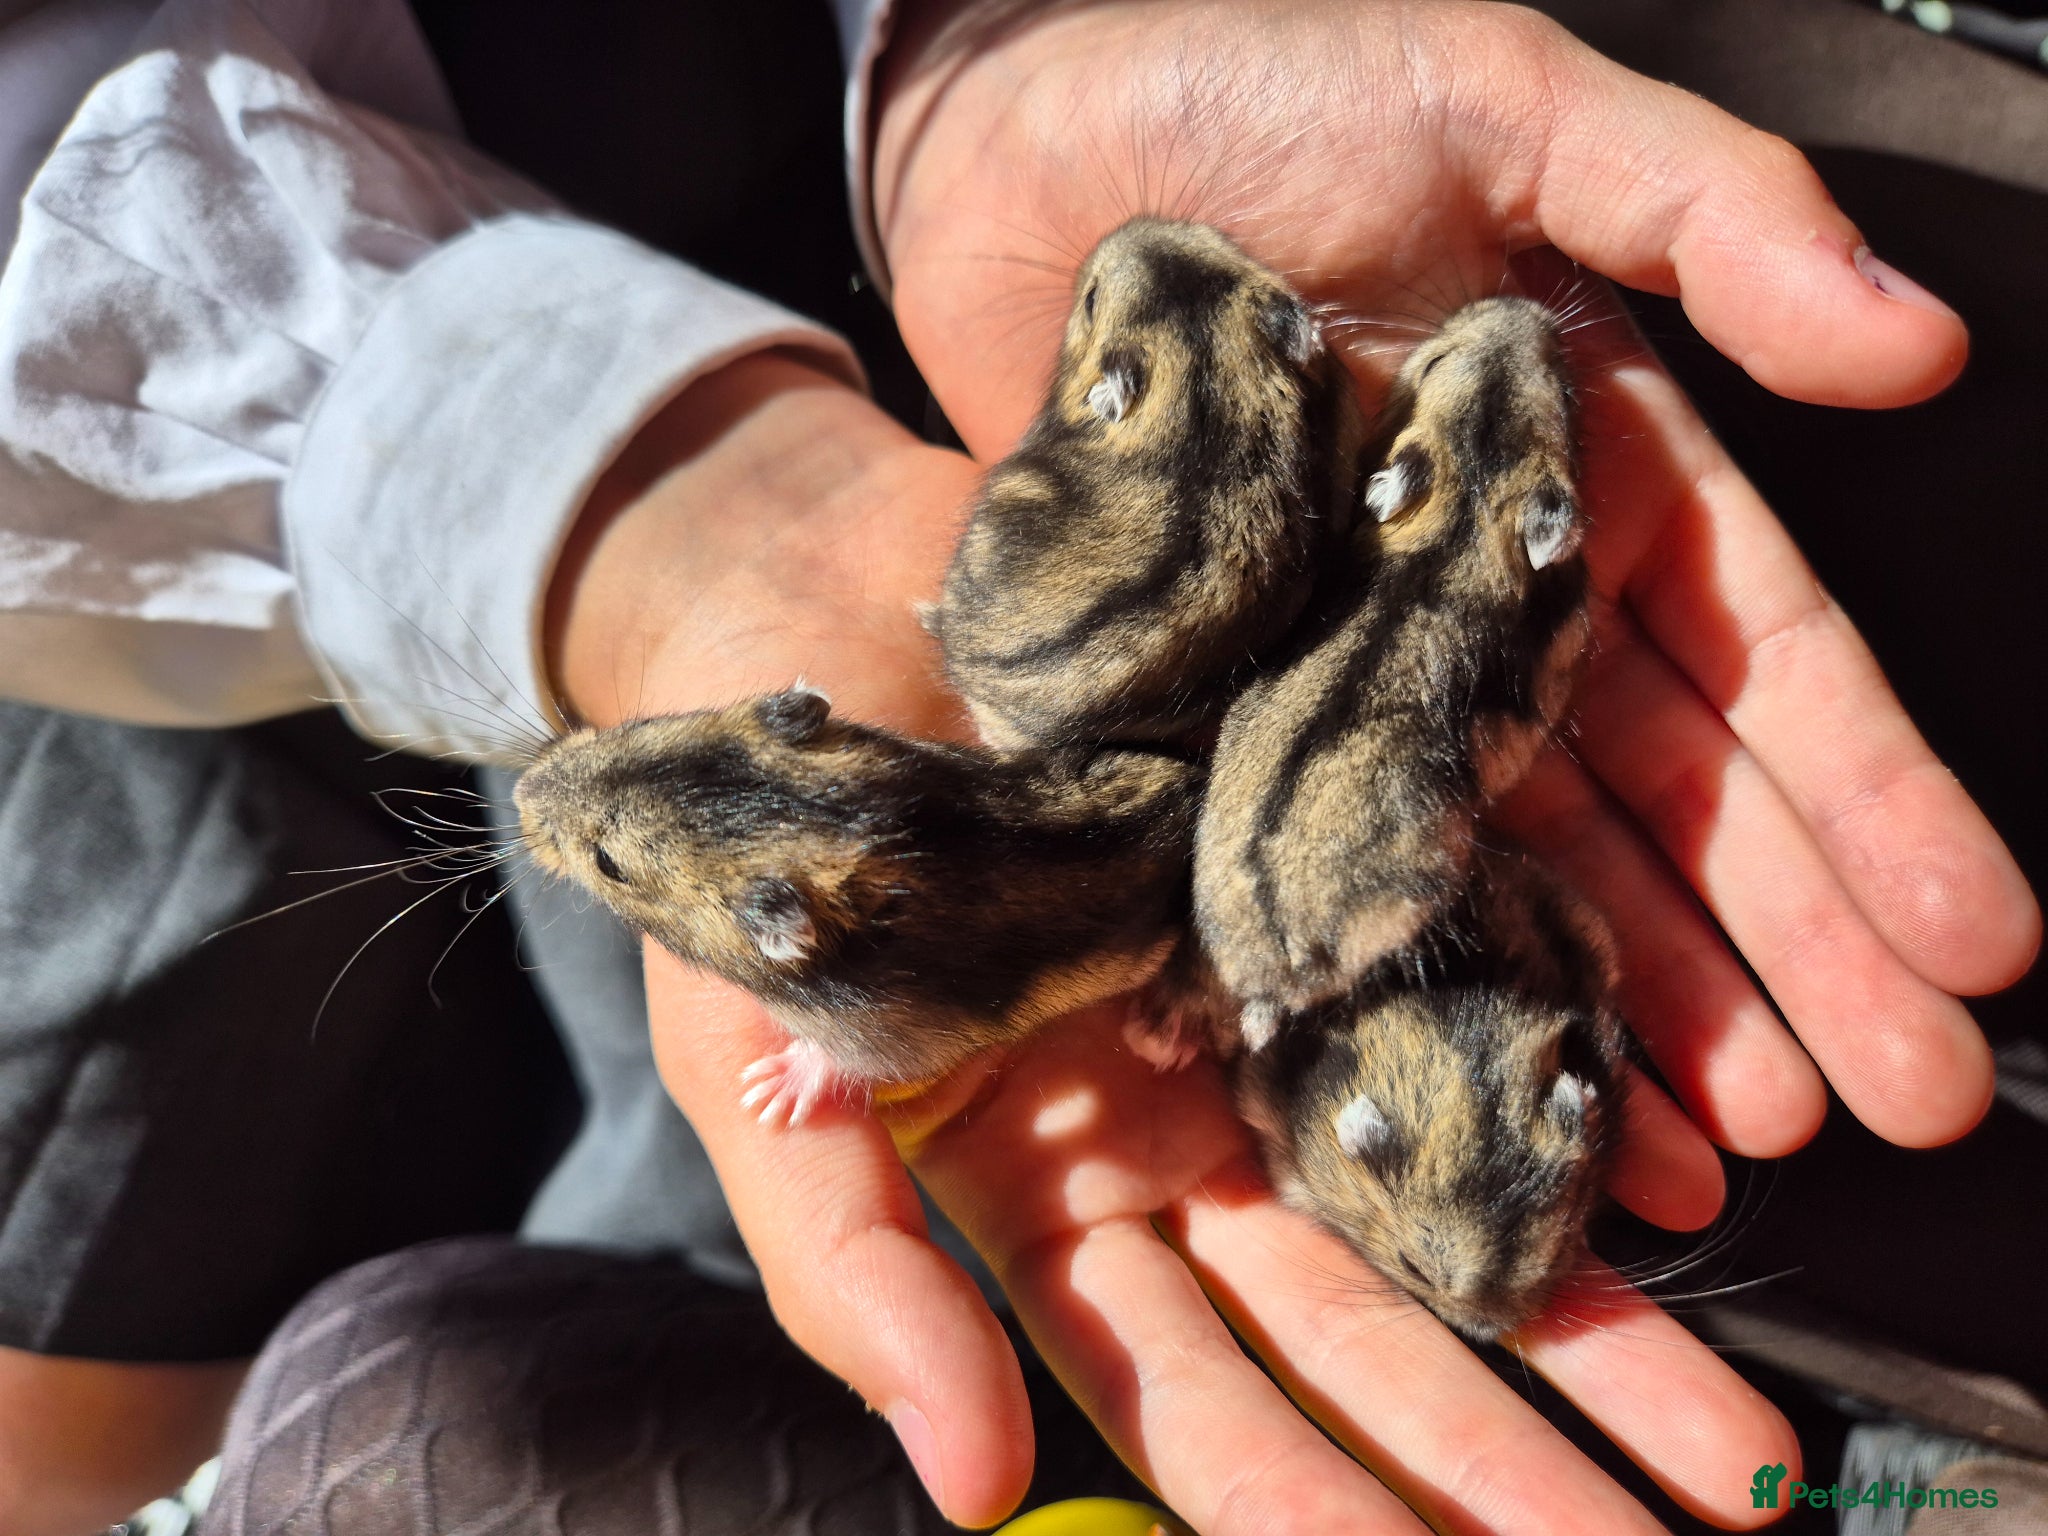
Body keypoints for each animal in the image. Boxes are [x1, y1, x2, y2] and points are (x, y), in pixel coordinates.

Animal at [512, 686, 1200, 1123]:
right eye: (641, 727)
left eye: (609, 864)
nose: (518, 794)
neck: (878, 827)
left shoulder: (888, 1037)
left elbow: (841, 1062)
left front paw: (768, 1094)